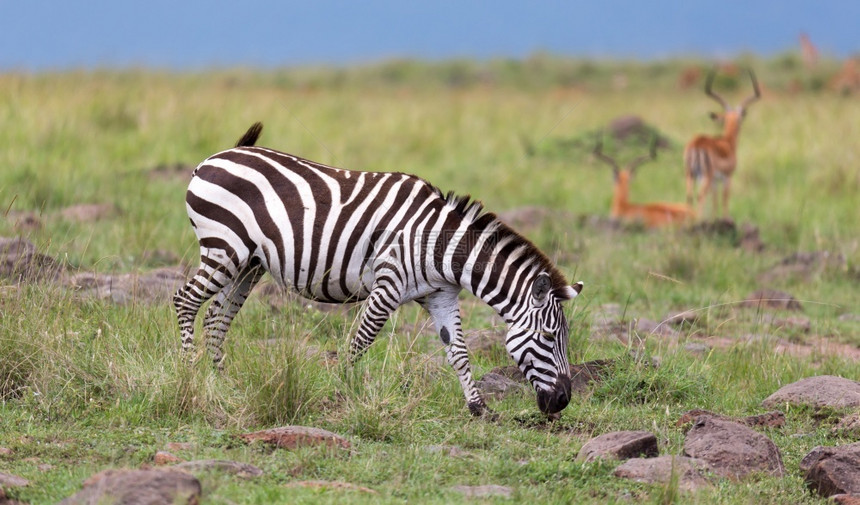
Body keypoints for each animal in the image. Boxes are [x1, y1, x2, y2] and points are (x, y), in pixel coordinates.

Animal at [171, 121, 580, 414]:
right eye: (549, 338)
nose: (563, 401)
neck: (439, 245)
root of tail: (216, 157)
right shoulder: (387, 286)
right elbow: (359, 343)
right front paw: (340, 394)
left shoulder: (441, 296)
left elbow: (459, 352)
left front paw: (478, 407)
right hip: (223, 248)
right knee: (185, 301)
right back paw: (189, 374)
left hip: (247, 264)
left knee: (217, 318)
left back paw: (221, 383)